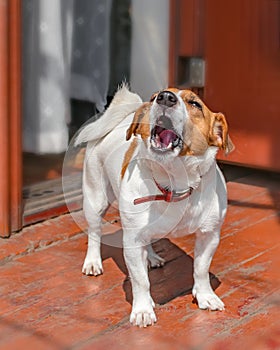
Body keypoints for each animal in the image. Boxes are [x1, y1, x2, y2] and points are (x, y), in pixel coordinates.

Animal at [74, 85, 234, 328]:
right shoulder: (131, 242)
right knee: (94, 233)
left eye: (195, 104)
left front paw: (205, 296)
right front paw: (142, 310)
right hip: (95, 200)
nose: (165, 98)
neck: (175, 185)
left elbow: (201, 269)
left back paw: (150, 256)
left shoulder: (209, 235)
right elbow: (141, 280)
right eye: (155, 97)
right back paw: (93, 262)